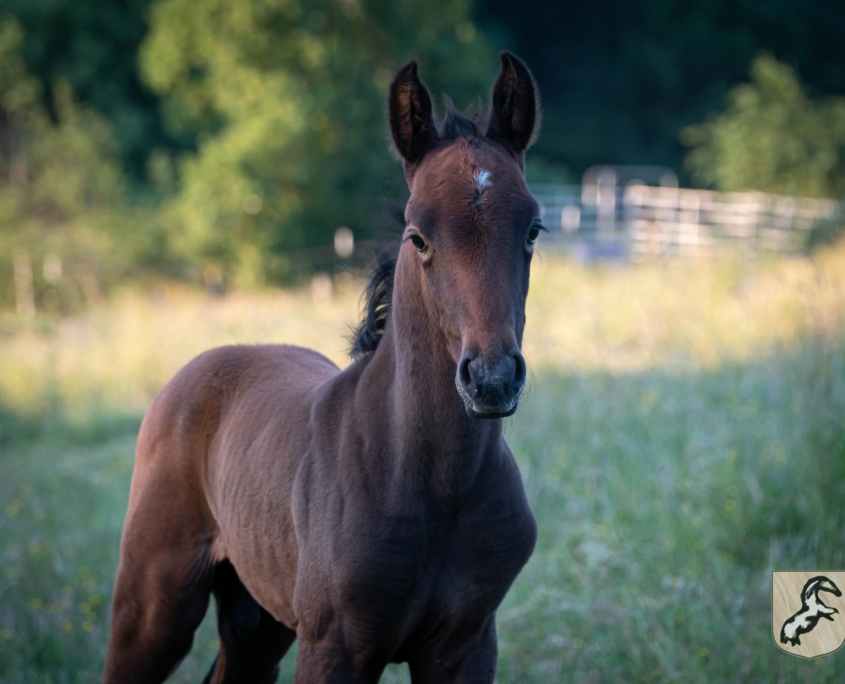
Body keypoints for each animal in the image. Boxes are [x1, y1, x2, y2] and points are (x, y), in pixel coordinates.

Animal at [104, 53, 540, 684]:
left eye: (533, 229)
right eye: (417, 237)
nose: (491, 379)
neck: (433, 483)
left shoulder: (467, 646)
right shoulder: (333, 648)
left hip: (255, 618)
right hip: (153, 603)